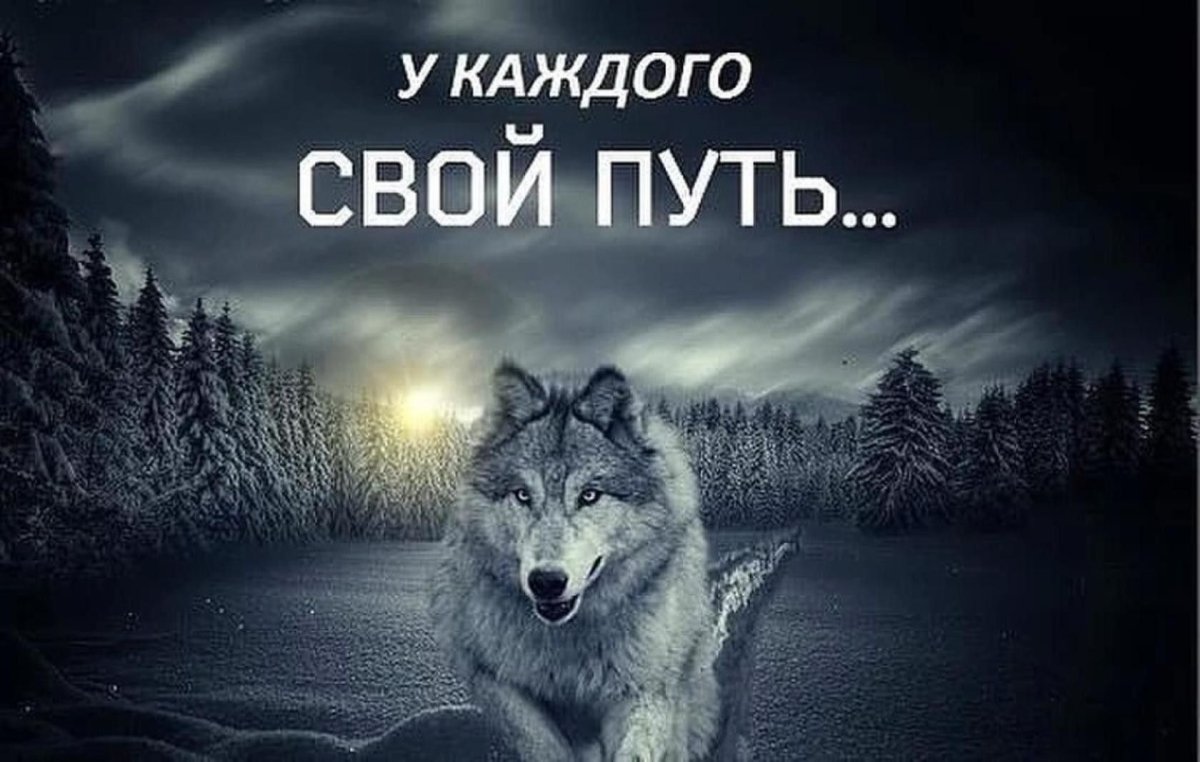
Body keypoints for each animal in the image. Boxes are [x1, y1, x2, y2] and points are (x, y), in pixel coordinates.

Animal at [429, 362, 719, 762]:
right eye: (522, 495)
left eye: (589, 495)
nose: (546, 581)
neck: (568, 641)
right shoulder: (495, 679)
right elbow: (543, 745)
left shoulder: (646, 687)